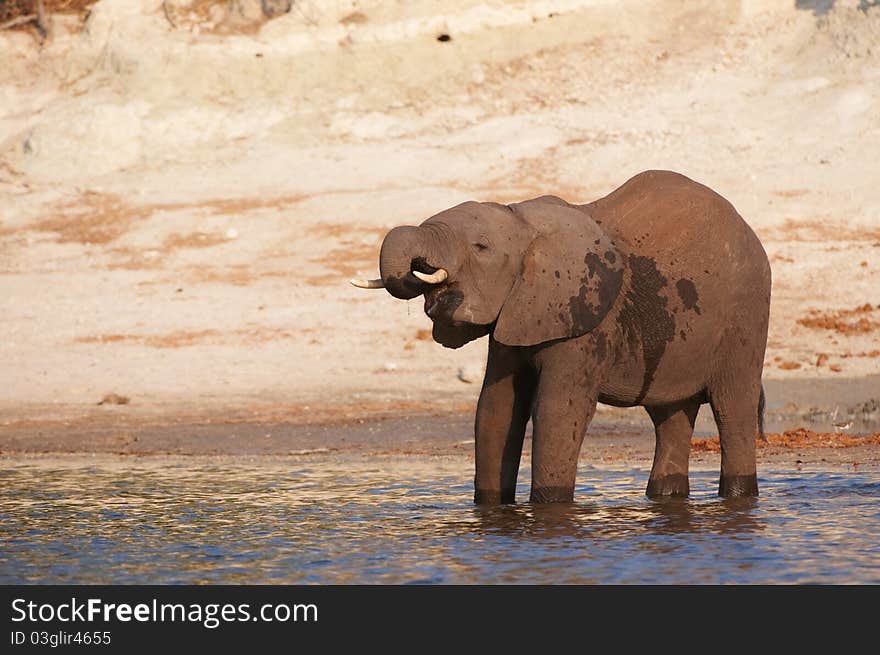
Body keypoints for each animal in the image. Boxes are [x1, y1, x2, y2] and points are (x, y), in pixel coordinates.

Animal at [350, 169, 768, 502]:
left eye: (481, 247)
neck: (523, 224)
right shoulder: (516, 313)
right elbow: (495, 409)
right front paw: (490, 507)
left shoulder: (583, 319)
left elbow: (557, 411)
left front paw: (549, 507)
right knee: (669, 415)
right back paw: (665, 496)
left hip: (746, 316)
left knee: (733, 409)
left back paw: (738, 495)